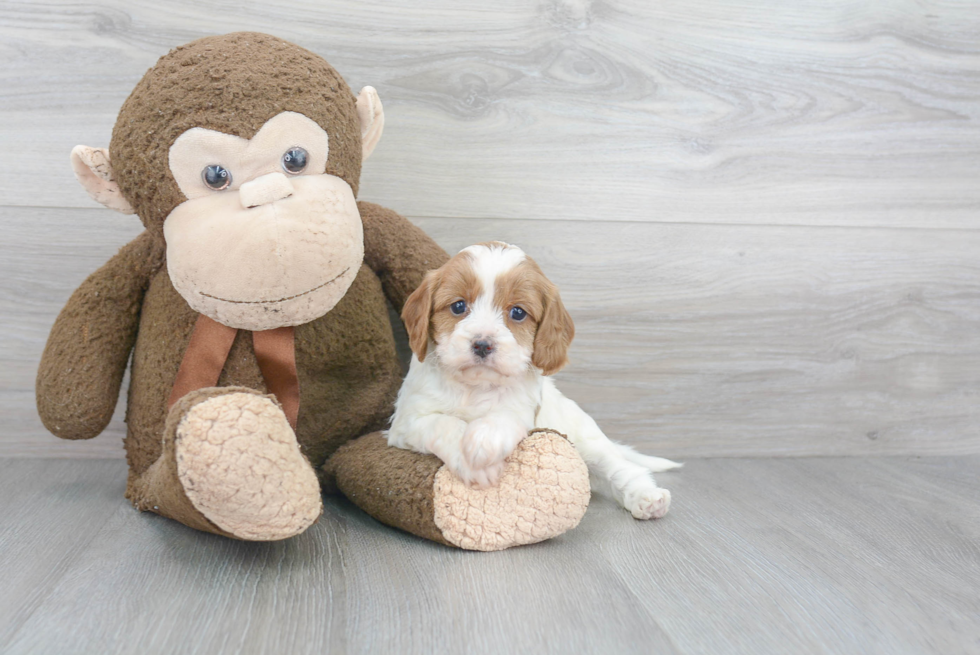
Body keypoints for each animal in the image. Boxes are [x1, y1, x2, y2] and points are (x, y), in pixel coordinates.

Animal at [386, 243, 676, 520]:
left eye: (517, 312)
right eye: (458, 306)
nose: (482, 344)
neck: (474, 387)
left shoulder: (523, 410)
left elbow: (503, 419)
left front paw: (484, 442)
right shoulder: (407, 421)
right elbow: (443, 423)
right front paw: (472, 462)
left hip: (589, 443)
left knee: (623, 470)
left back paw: (647, 497)